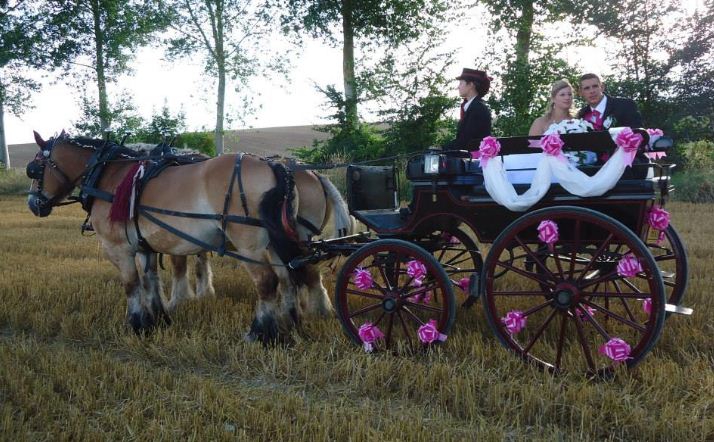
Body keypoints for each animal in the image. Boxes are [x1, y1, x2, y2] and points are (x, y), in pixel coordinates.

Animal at [26, 131, 350, 342]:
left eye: (35, 168)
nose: (33, 204)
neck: (110, 176)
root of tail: (277, 166)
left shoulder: (119, 248)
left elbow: (133, 285)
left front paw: (137, 324)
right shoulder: (145, 245)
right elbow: (151, 281)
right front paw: (158, 319)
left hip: (252, 243)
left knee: (270, 281)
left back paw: (262, 332)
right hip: (276, 241)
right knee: (290, 276)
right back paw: (292, 322)